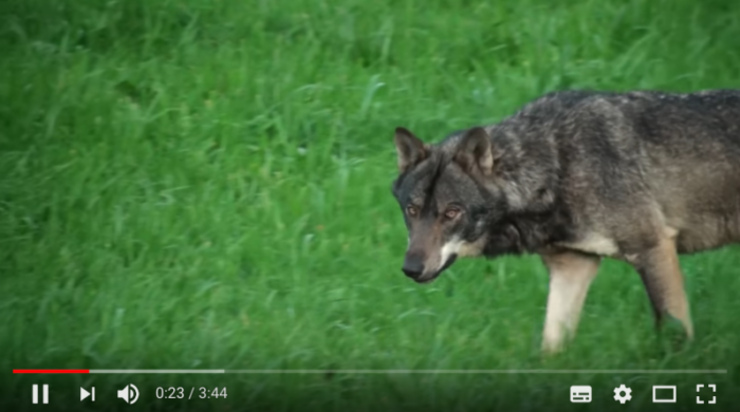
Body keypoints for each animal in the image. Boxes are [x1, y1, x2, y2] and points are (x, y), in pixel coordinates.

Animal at [390, 90, 736, 354]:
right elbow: (551, 345)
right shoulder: (573, 266)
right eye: (412, 210)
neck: (557, 167)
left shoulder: (653, 247)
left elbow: (676, 329)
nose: (410, 269)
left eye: (451, 212)